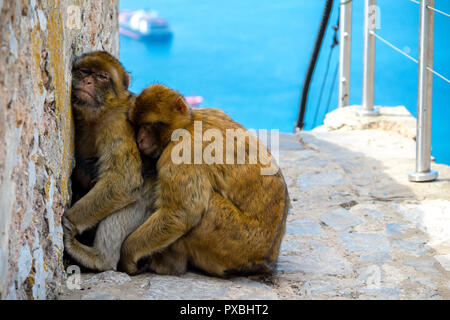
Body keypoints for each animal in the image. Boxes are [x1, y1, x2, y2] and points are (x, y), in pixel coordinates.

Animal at [62, 51, 156, 272]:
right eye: (85, 71)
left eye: (102, 77)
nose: (87, 81)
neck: (98, 114)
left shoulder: (117, 124)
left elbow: (123, 180)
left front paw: (70, 222)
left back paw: (100, 258)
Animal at [119, 84, 288, 276]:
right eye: (138, 126)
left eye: (149, 125)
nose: (140, 139)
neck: (187, 124)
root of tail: (267, 259)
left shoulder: (183, 151)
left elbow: (181, 213)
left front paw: (127, 254)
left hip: (238, 244)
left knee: (209, 205)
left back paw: (169, 266)